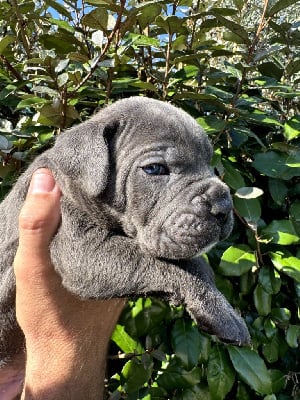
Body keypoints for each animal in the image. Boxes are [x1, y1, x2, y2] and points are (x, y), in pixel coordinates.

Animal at [0, 96, 250, 362]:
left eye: (210, 166)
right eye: (154, 169)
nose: (224, 206)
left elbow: (189, 262)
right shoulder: (82, 248)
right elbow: (161, 261)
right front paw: (223, 314)